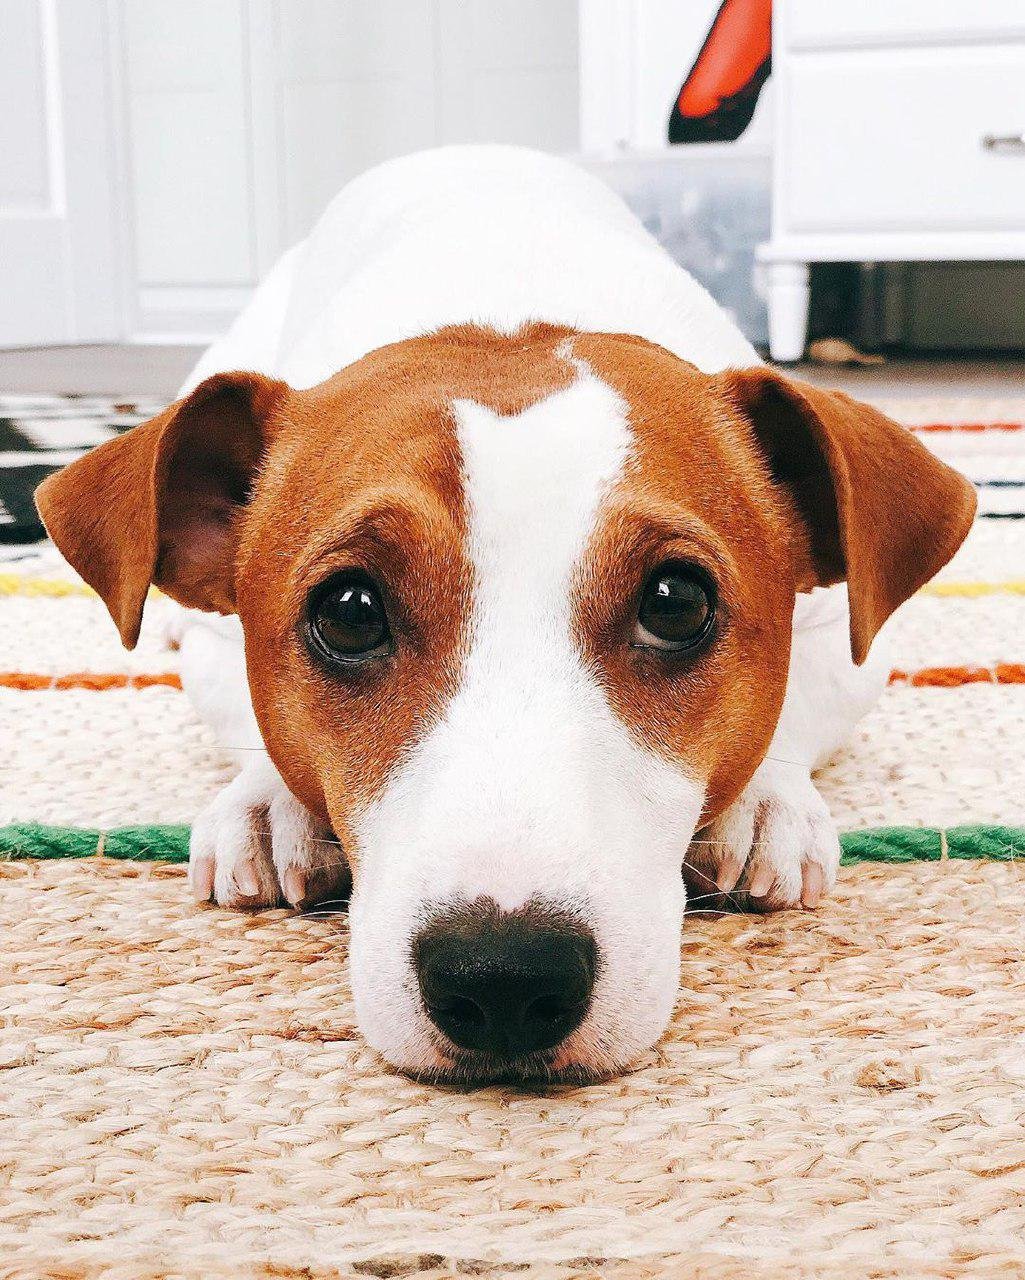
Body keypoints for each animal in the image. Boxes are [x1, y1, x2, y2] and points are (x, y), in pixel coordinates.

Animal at [35, 152, 972, 1090]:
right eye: (348, 613)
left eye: (676, 603)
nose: (504, 977)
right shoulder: (216, 644)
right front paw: (271, 801)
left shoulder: (849, 644)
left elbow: (799, 710)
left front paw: (762, 802)